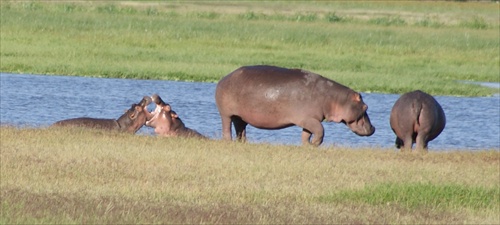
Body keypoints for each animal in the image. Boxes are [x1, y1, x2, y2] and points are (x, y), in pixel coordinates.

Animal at [215, 65, 376, 146]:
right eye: (366, 107)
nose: (373, 128)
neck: (336, 98)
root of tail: (224, 78)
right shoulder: (309, 119)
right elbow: (320, 130)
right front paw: (314, 144)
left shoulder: (309, 119)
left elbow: (307, 133)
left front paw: (307, 145)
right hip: (226, 113)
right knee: (226, 127)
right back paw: (228, 141)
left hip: (240, 116)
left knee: (240, 128)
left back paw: (242, 142)